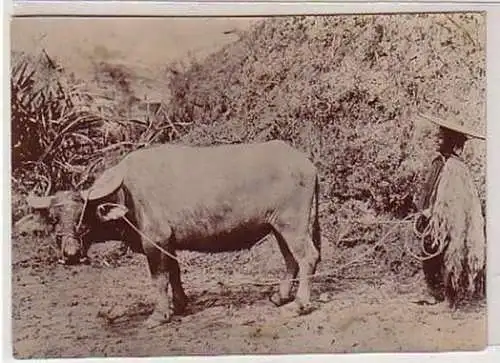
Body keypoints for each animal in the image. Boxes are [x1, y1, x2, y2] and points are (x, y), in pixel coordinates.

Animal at [27, 141, 322, 328]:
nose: (71, 254)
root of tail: (307, 163)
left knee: (308, 256)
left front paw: (158, 315)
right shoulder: (169, 244)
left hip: (292, 223)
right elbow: (175, 272)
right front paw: (180, 305)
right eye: (54, 218)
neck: (127, 195)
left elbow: (159, 279)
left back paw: (299, 304)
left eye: (83, 216)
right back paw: (280, 297)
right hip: (278, 226)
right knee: (290, 259)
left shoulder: (154, 242)